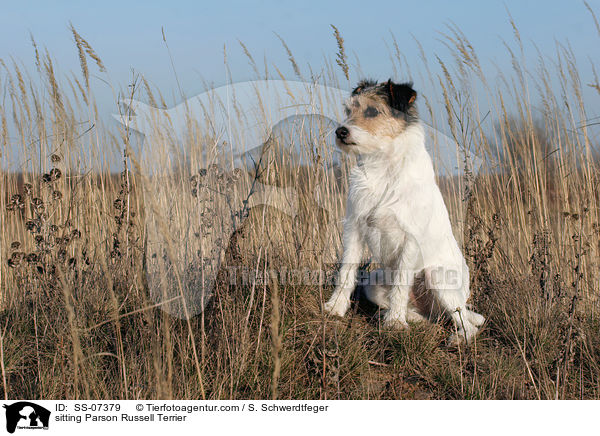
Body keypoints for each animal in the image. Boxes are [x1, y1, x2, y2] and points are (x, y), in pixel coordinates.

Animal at [324, 78, 482, 344]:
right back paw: (402, 316)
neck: (383, 167)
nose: (340, 132)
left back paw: (458, 337)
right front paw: (335, 307)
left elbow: (400, 283)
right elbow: (346, 272)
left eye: (372, 111)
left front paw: (396, 323)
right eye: (349, 110)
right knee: (426, 316)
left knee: (466, 322)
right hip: (373, 284)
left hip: (438, 277)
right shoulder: (354, 226)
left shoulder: (410, 239)